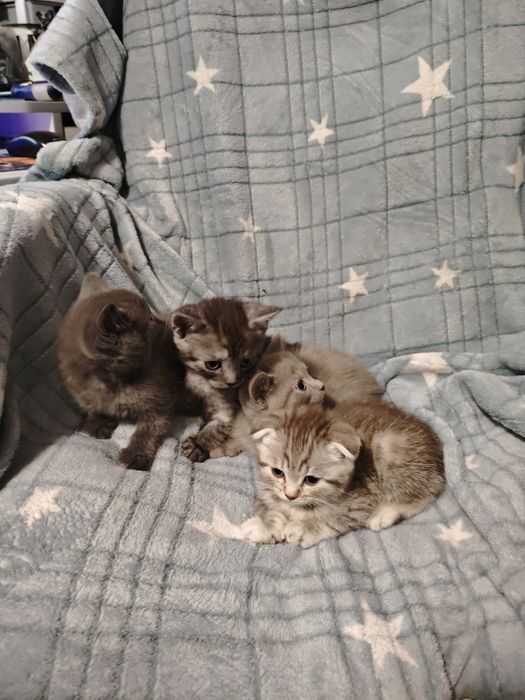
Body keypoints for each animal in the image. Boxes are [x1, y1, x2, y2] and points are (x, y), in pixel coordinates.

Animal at [58, 273, 201, 470]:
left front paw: (136, 454)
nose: (162, 320)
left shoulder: (162, 398)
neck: (114, 384)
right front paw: (95, 423)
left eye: (152, 314)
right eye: (149, 319)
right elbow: (96, 406)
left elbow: (150, 428)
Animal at [171, 297, 280, 462]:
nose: (233, 381)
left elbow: (217, 427)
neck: (206, 384)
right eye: (212, 364)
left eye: (246, 362)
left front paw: (198, 444)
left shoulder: (231, 409)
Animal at [241, 400, 445, 548]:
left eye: (311, 480)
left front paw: (304, 528)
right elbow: (270, 507)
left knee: (426, 494)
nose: (290, 495)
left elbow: (334, 518)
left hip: (389, 448)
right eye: (277, 472)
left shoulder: (361, 500)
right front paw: (266, 524)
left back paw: (384, 514)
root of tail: (434, 440)